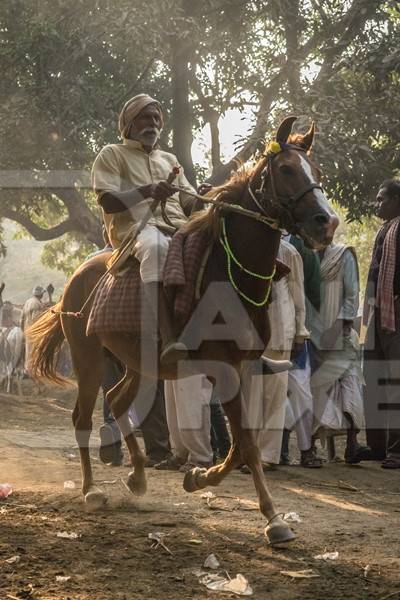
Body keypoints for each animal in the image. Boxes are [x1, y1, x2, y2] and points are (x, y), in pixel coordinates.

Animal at [27, 115, 338, 548]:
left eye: (319, 172)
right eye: (287, 169)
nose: (327, 222)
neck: (229, 271)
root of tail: (78, 276)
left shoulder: (242, 366)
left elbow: (240, 445)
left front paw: (197, 477)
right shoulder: (223, 368)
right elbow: (245, 446)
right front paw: (273, 519)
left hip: (138, 362)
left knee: (119, 402)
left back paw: (137, 477)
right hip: (87, 359)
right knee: (82, 417)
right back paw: (91, 490)